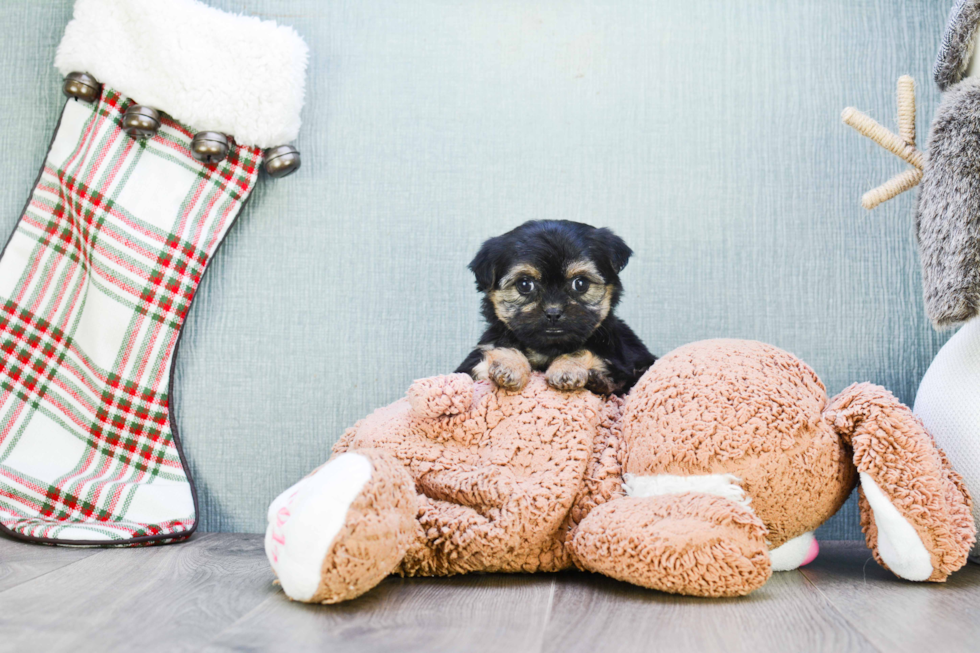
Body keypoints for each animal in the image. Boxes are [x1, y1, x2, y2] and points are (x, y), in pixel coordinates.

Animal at [454, 219, 656, 394]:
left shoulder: (617, 359)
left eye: (580, 283)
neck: (547, 350)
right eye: (524, 284)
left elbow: (582, 350)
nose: (553, 312)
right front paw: (509, 365)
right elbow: (500, 347)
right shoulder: (472, 362)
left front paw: (566, 370)